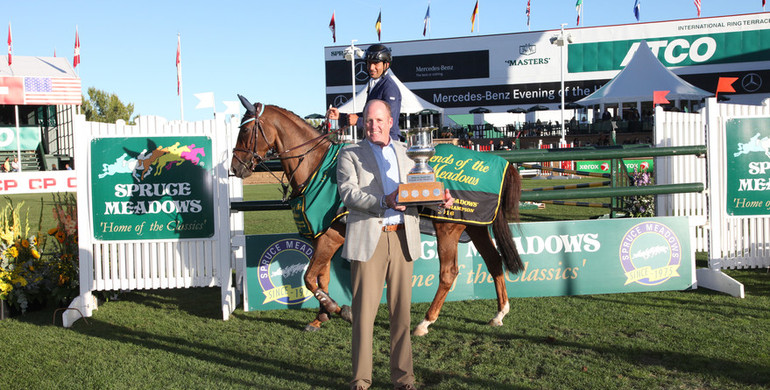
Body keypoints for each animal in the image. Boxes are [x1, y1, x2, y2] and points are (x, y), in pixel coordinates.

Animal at [231, 96, 520, 336]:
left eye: (244, 130)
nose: (235, 167)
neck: (317, 167)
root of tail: (501, 163)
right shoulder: (323, 237)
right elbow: (321, 278)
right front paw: (321, 317)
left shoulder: (332, 237)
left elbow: (310, 278)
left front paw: (339, 310)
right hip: (474, 225)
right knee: (494, 261)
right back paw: (500, 313)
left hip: (448, 228)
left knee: (449, 273)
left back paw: (425, 322)